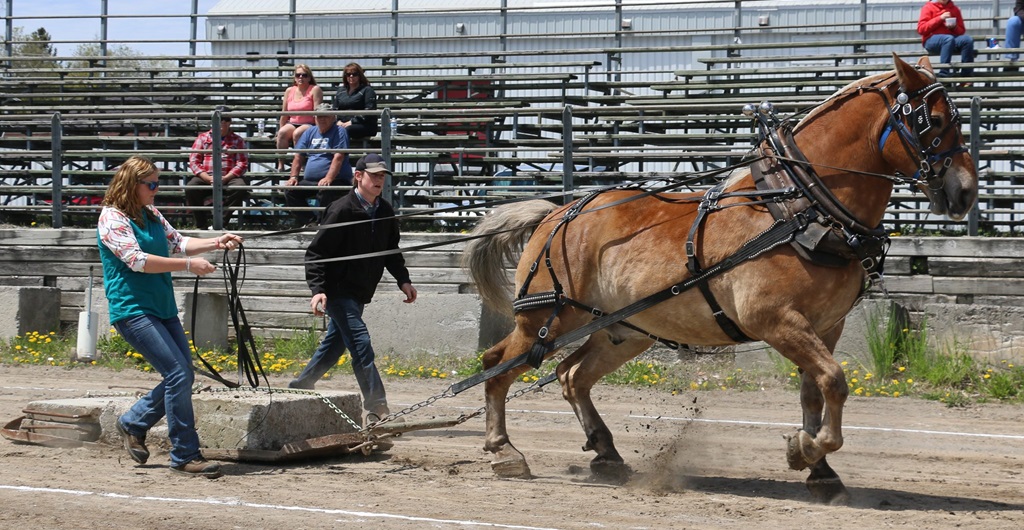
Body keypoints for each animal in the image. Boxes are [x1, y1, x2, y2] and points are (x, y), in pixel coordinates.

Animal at [461, 54, 978, 504]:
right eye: (932, 121)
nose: (966, 193)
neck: (799, 207)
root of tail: (557, 213)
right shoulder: (775, 320)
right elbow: (834, 381)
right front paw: (807, 450)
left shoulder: (827, 325)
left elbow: (815, 389)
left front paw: (820, 468)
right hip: (548, 319)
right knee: (497, 364)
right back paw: (504, 451)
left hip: (623, 331)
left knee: (571, 375)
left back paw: (606, 452)